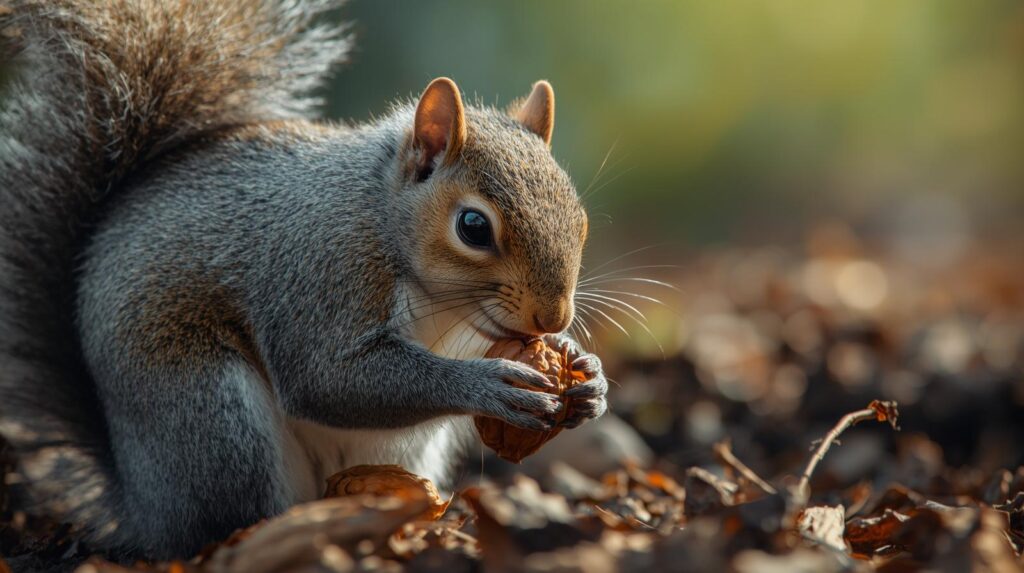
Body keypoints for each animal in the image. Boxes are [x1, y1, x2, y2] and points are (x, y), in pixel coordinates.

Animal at [0, 0, 608, 560]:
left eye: (582, 220)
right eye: (474, 227)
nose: (552, 316)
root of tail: (143, 508)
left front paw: (584, 370)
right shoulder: (322, 271)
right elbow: (325, 378)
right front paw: (489, 385)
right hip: (211, 417)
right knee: (225, 521)